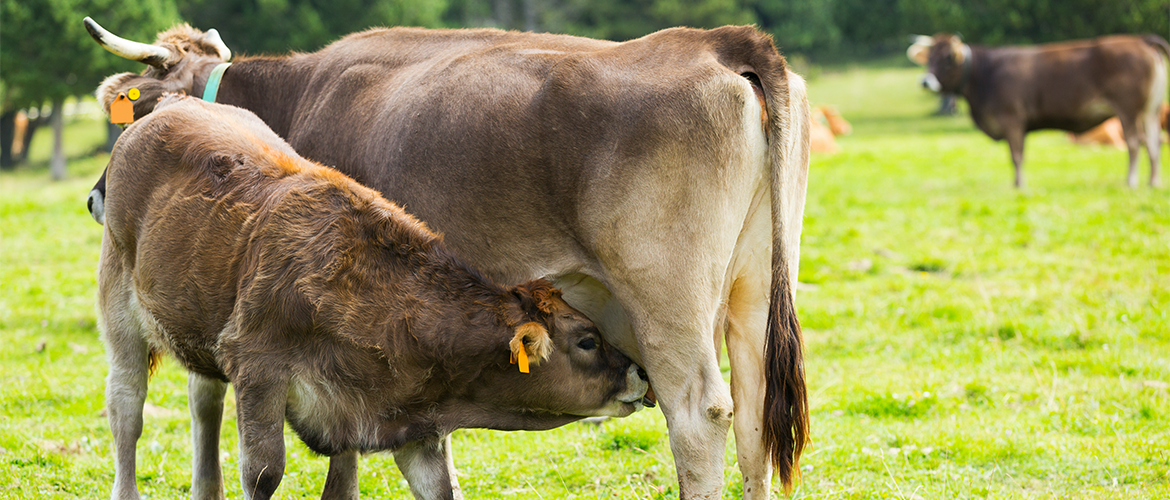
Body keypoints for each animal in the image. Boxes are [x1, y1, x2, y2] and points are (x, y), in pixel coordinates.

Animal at [97, 94, 650, 500]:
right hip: (118, 308)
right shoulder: (257, 370)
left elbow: (433, 488)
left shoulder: (411, 428)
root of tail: (176, 102)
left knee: (203, 403)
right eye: (587, 340)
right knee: (126, 410)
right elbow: (263, 473)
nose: (640, 373)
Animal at [907, 32, 1165, 189]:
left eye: (948, 58)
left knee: (1135, 143)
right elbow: (1017, 155)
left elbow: (1016, 156)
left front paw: (1019, 185)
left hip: (1129, 109)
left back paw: (1131, 181)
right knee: (1154, 144)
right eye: (929, 57)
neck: (985, 73)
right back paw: (1153, 182)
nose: (925, 81)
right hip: (1150, 111)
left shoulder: (1012, 118)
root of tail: (1141, 40)